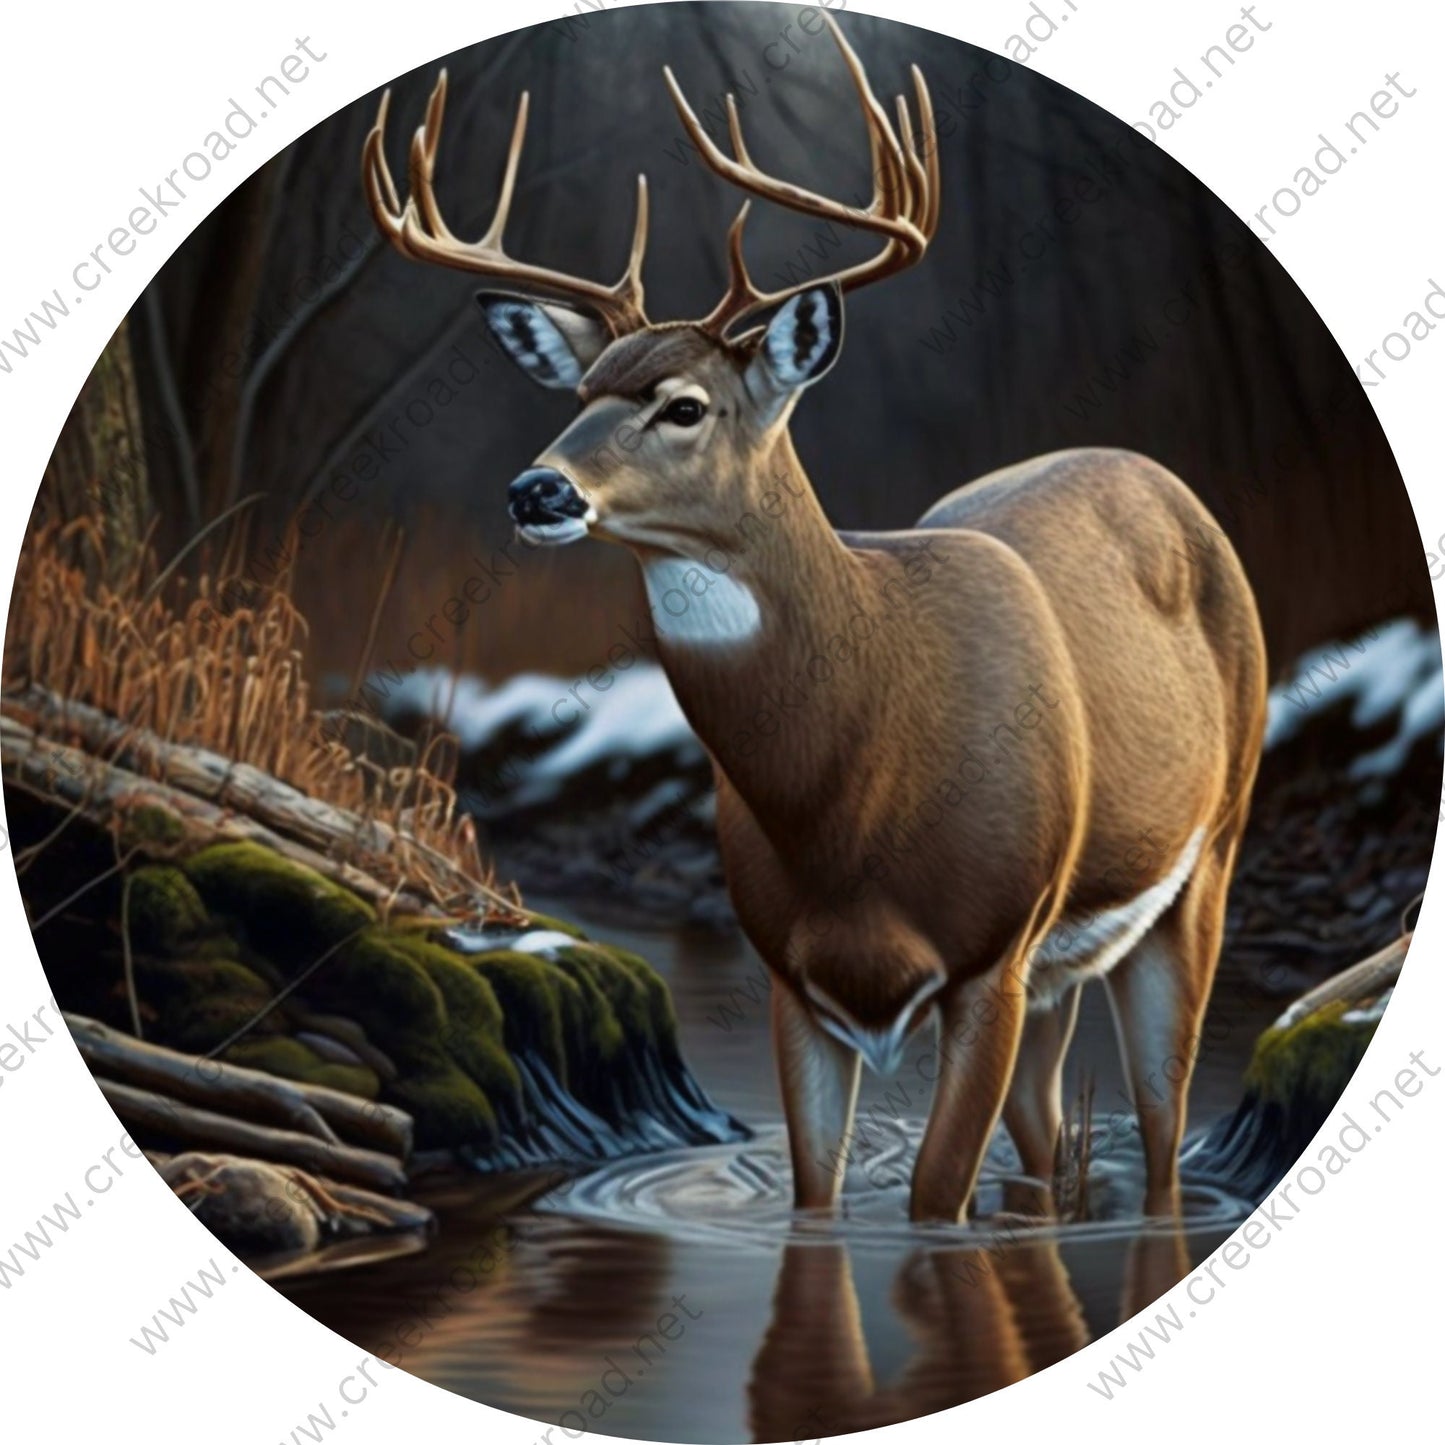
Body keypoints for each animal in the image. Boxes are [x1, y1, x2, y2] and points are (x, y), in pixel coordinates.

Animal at [363, 14, 1267, 1224]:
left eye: (682, 405)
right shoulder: (792, 971)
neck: (853, 792)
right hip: (1062, 963)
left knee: (1163, 1130)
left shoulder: (991, 952)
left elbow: (932, 1200)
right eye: (580, 393)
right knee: (1045, 1137)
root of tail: (1156, 474)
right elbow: (814, 1197)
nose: (535, 490)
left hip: (1205, 851)